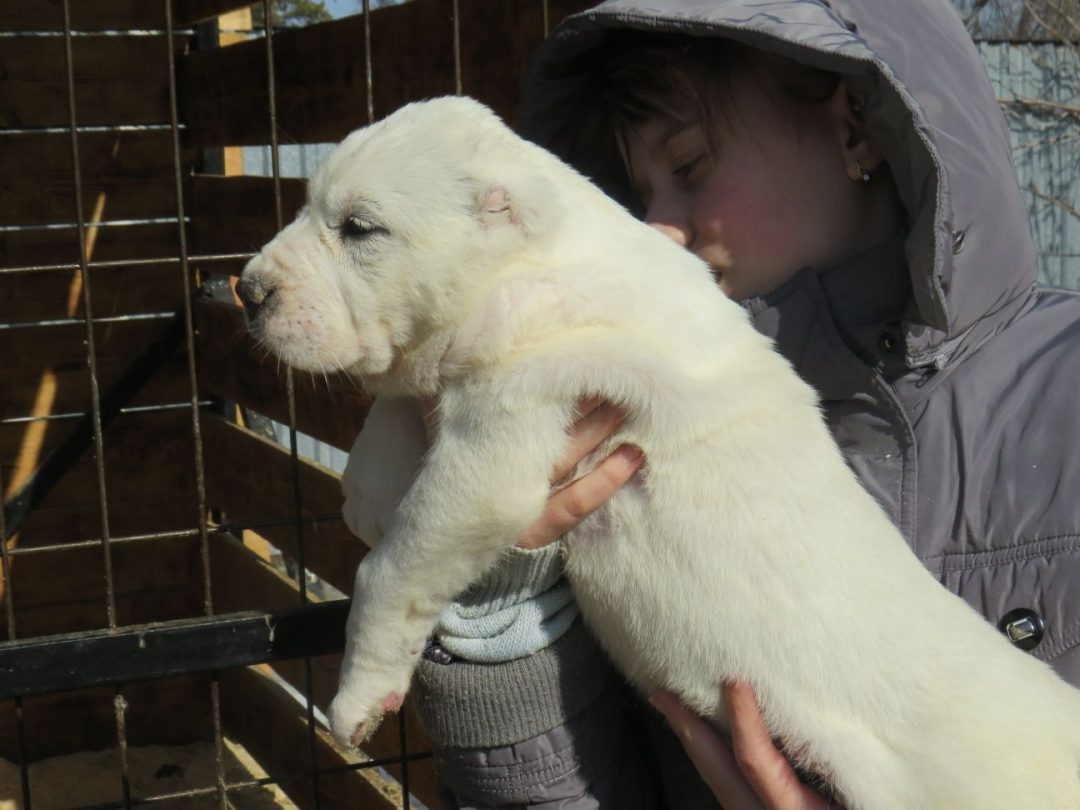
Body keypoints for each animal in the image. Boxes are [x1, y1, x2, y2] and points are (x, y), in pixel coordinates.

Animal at [240, 96, 1080, 810]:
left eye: (360, 229)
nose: (246, 289)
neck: (534, 264)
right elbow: (399, 404)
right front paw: (370, 486)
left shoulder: (500, 435)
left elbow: (390, 568)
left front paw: (357, 698)